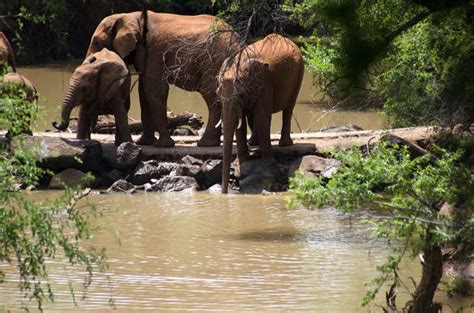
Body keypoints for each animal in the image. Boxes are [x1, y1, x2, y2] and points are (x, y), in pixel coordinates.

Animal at [85, 10, 241, 146]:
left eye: (97, 42)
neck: (129, 16)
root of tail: (237, 40)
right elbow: (143, 90)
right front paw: (144, 143)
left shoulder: (153, 50)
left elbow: (154, 88)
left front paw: (163, 145)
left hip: (213, 60)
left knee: (211, 95)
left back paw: (205, 144)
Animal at [218, 33, 304, 193]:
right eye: (218, 95)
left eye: (240, 94)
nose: (224, 193)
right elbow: (241, 124)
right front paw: (243, 163)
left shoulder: (265, 83)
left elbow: (262, 117)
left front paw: (268, 165)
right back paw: (253, 142)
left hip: (300, 71)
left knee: (289, 108)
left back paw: (285, 144)